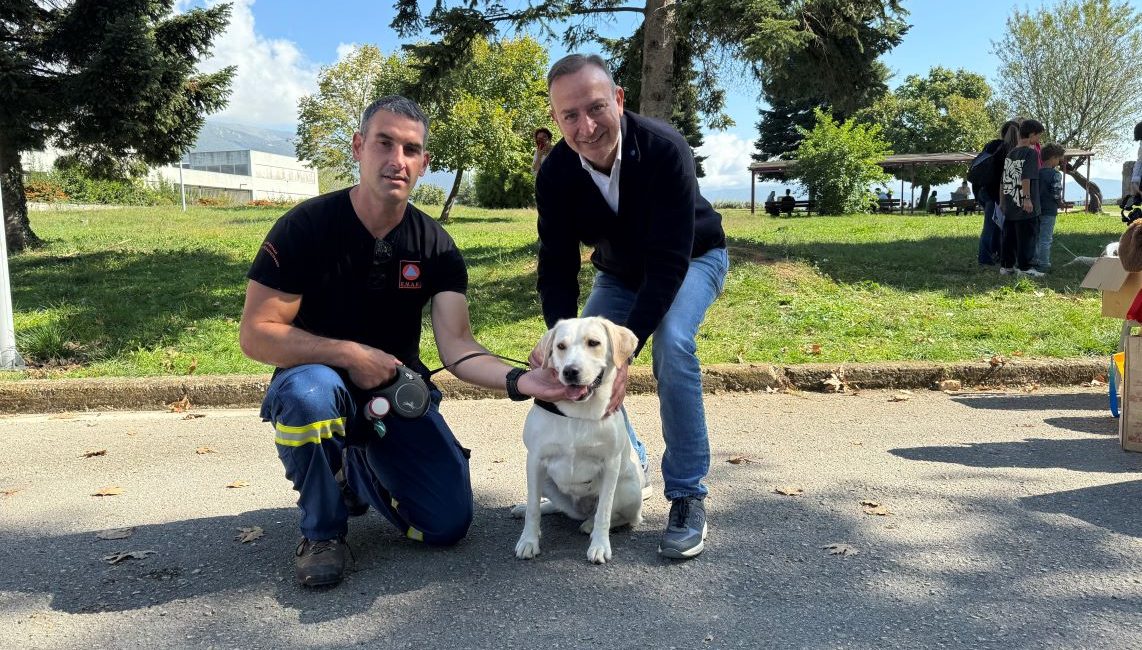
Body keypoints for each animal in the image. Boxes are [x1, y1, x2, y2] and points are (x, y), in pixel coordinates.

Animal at [512, 316, 645, 564]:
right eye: (560, 346)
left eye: (594, 342)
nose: (570, 371)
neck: (578, 413)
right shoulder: (534, 461)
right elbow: (534, 508)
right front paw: (529, 541)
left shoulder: (610, 465)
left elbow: (604, 510)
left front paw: (600, 545)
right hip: (546, 482)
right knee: (556, 507)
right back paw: (526, 509)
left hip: (630, 490)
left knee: (623, 517)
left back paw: (590, 524)